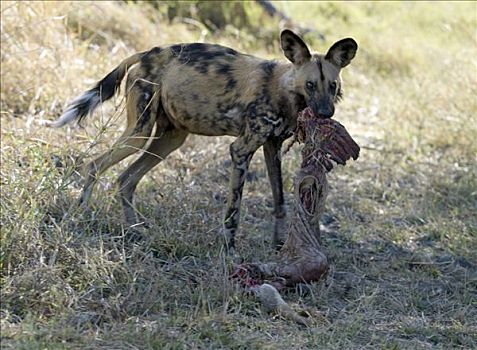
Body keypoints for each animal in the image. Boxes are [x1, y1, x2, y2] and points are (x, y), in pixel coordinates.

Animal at [52, 30, 356, 252]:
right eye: (310, 85)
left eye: (333, 86)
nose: (325, 113)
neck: (284, 92)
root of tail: (148, 53)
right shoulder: (241, 150)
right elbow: (233, 211)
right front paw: (229, 251)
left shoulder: (272, 148)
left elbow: (279, 201)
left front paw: (279, 245)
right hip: (140, 133)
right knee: (94, 165)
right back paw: (78, 214)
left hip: (169, 140)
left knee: (126, 179)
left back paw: (135, 231)